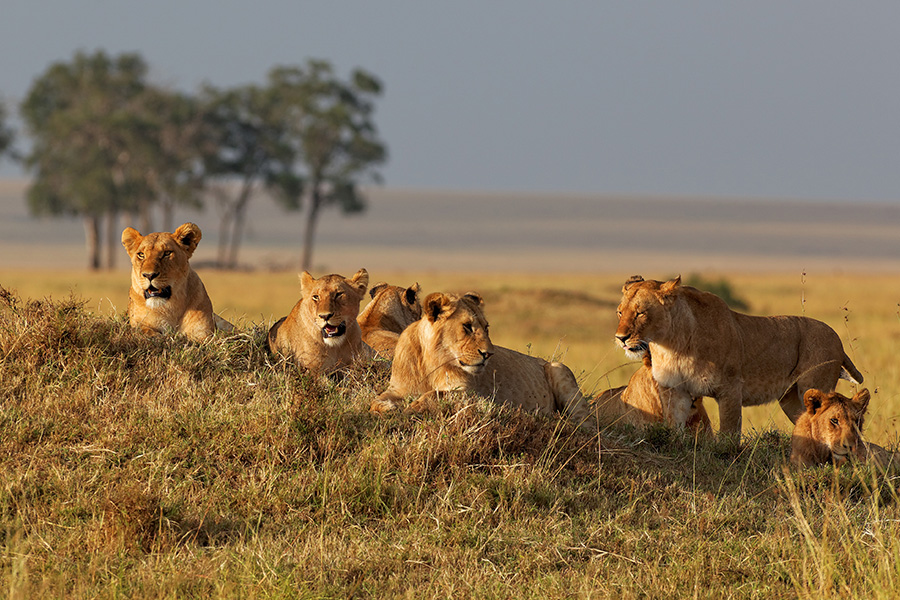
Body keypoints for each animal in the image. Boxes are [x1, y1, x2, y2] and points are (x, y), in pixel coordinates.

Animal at [370, 291, 597, 431]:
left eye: (486, 327)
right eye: (467, 327)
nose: (488, 354)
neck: (431, 363)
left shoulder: (472, 395)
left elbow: (434, 395)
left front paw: (412, 408)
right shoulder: (397, 388)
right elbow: (376, 401)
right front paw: (389, 408)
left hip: (559, 368)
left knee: (587, 425)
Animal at [615, 276, 863, 437]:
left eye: (640, 313)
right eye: (620, 312)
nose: (621, 338)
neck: (672, 346)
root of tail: (837, 338)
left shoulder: (730, 389)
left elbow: (728, 434)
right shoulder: (676, 391)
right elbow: (674, 427)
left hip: (813, 387)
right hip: (791, 399)